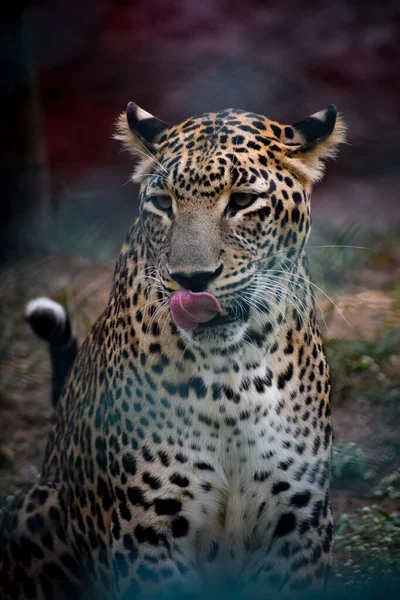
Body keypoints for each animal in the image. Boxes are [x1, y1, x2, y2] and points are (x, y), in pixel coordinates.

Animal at [0, 101, 344, 596]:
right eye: (164, 203)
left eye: (242, 201)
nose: (191, 280)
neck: (233, 378)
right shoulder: (147, 526)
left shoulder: (300, 519)